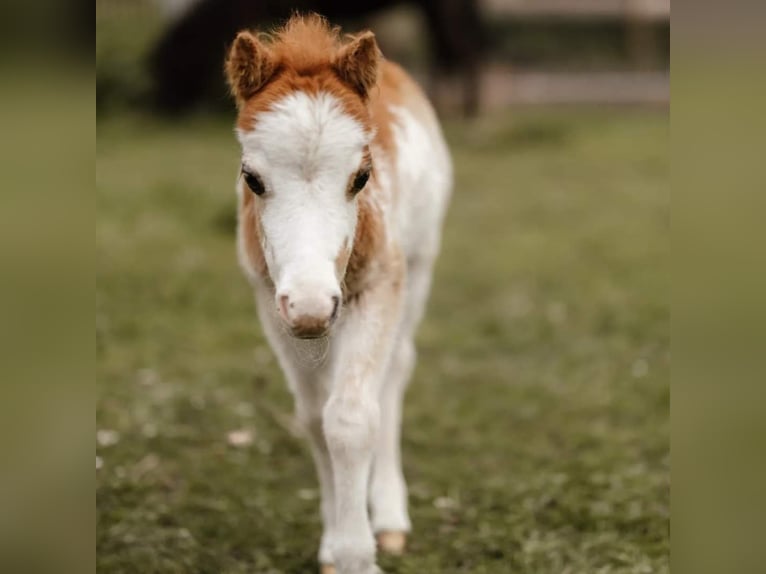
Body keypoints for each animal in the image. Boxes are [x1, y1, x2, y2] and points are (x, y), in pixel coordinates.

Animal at [225, 14, 452, 574]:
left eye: (362, 176)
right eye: (251, 178)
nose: (311, 306)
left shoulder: (378, 287)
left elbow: (351, 418)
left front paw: (357, 554)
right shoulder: (273, 305)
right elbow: (313, 418)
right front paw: (332, 543)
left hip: (419, 267)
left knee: (395, 373)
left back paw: (389, 516)